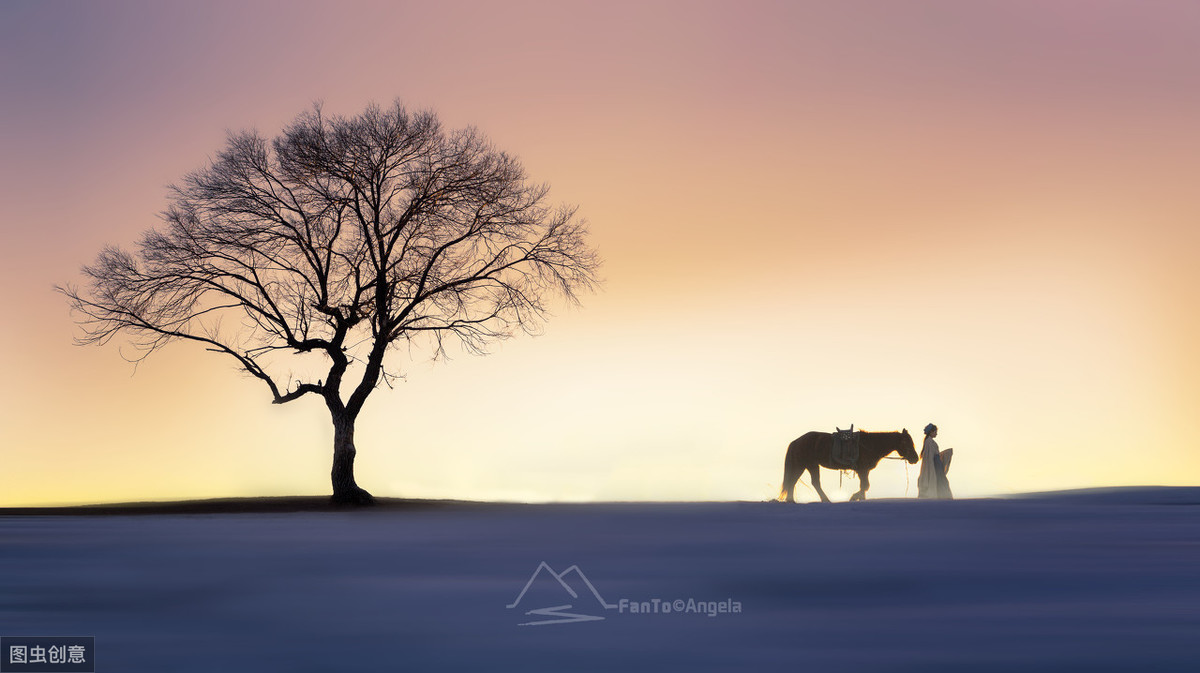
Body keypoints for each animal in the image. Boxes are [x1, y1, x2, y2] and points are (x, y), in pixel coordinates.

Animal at [777, 427, 916, 501]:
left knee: (794, 482)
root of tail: (796, 441)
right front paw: (854, 497)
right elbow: (865, 486)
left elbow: (864, 486)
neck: (870, 445)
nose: (915, 458)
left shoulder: (864, 471)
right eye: (907, 442)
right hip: (808, 465)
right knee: (810, 482)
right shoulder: (862, 470)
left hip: (805, 466)